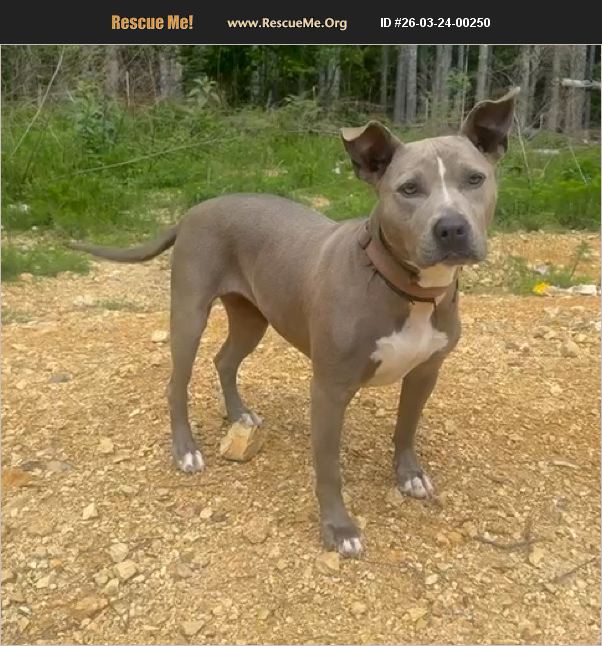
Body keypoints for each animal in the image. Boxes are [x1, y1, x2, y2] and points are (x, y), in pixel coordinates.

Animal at [71, 88, 518, 557]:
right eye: (408, 189)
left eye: (475, 179)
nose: (451, 227)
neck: (402, 288)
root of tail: (194, 211)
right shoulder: (329, 390)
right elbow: (329, 469)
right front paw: (339, 529)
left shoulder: (425, 373)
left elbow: (406, 428)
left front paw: (409, 474)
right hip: (189, 314)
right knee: (177, 382)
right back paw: (186, 450)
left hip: (252, 317)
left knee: (225, 360)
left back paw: (241, 415)